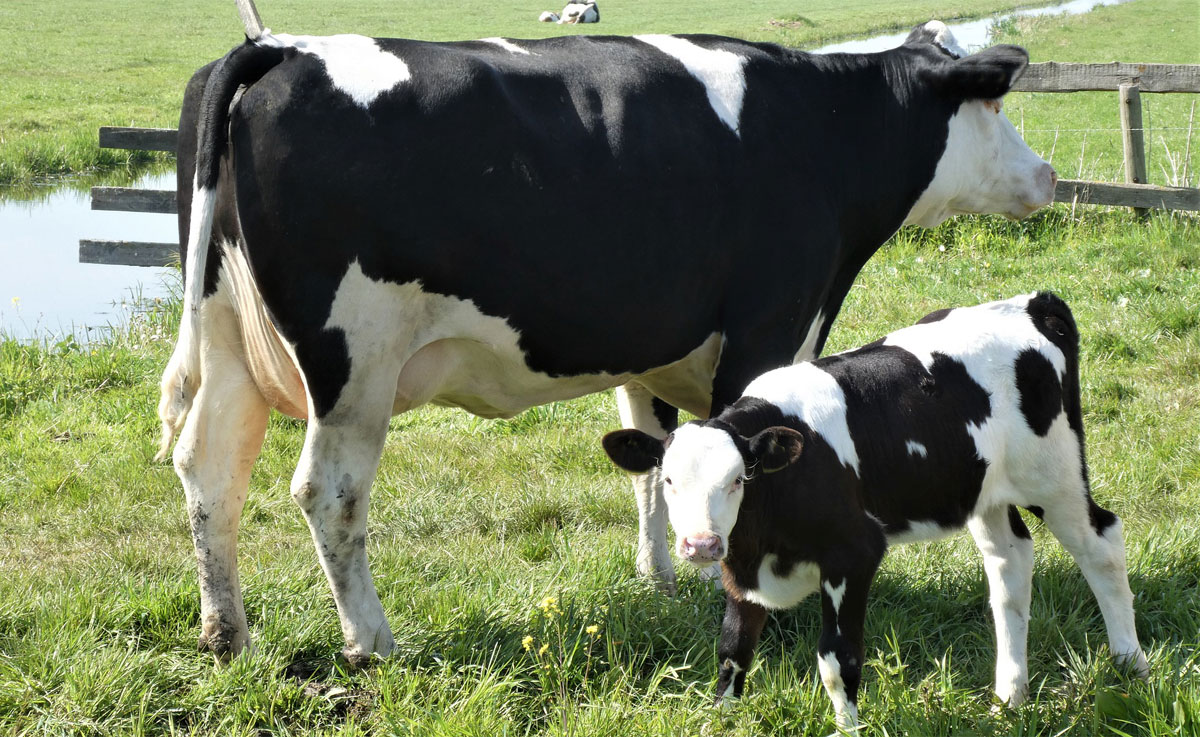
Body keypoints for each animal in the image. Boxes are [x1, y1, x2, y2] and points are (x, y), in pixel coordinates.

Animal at [158, 18, 1057, 664]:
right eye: (995, 106)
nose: (1047, 174)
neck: (824, 129)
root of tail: (280, 49)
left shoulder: (653, 345)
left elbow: (658, 460)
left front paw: (662, 578)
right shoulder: (770, 326)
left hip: (231, 342)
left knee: (209, 470)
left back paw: (227, 632)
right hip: (355, 362)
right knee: (329, 492)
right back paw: (372, 641)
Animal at [602, 292, 1150, 731]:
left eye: (738, 479)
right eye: (668, 481)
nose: (702, 545)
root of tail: (1033, 303)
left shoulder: (854, 553)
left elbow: (836, 661)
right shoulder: (742, 571)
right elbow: (732, 653)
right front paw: (721, 722)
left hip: (1056, 476)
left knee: (1102, 545)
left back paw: (1131, 667)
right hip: (984, 493)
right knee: (1010, 564)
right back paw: (1009, 698)